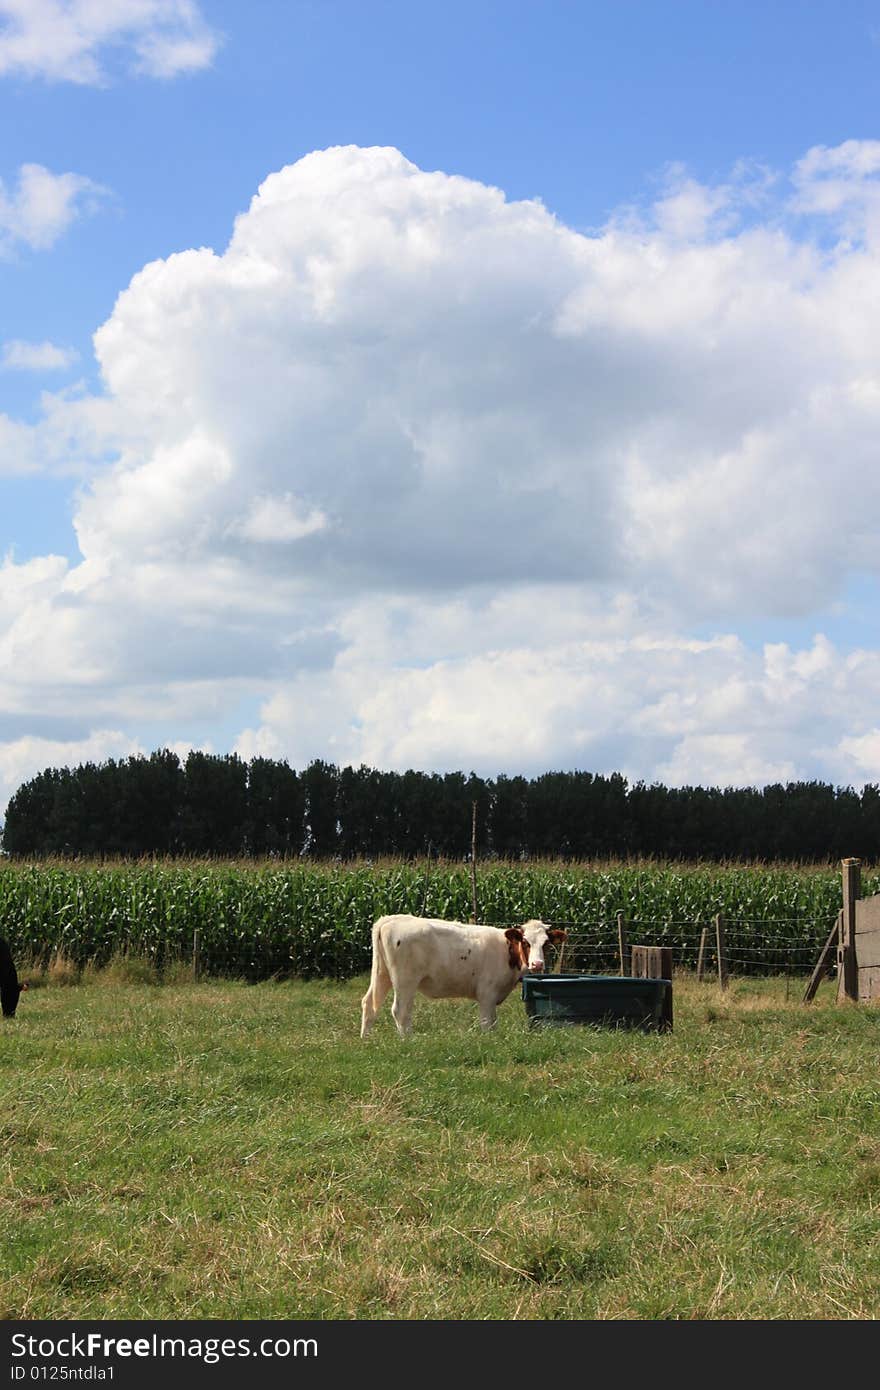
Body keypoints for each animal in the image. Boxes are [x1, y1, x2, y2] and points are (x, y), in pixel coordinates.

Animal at [361, 917, 567, 1039]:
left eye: (546, 943)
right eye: (525, 942)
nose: (537, 964)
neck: (507, 950)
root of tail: (391, 919)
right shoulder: (487, 994)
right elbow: (487, 1022)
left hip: (382, 975)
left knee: (369, 1003)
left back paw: (367, 1040)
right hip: (405, 981)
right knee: (400, 1010)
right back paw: (408, 1040)